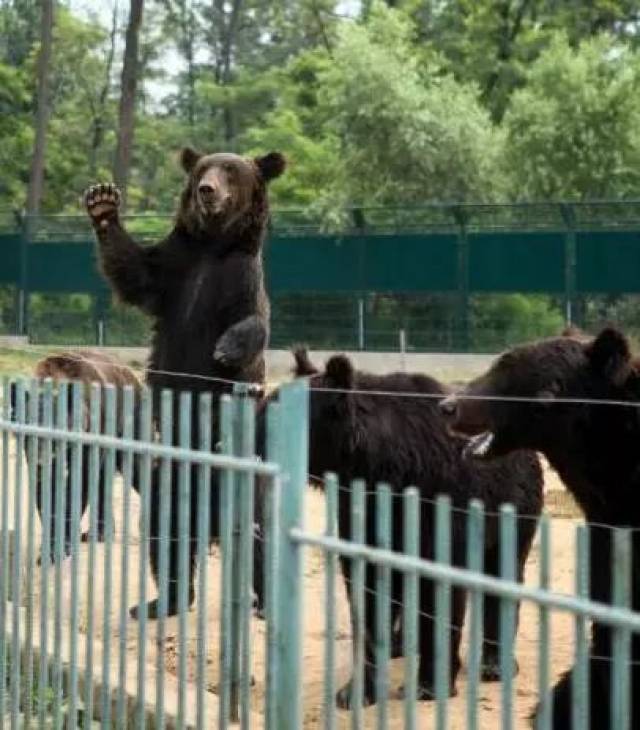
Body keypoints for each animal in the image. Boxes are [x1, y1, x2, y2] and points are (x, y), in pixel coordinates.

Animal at [84, 149, 286, 620]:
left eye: (230, 170)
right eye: (202, 170)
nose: (207, 190)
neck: (212, 246)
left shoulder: (239, 278)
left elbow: (253, 322)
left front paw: (226, 349)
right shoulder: (175, 269)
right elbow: (135, 272)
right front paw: (102, 202)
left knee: (257, 534)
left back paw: (264, 603)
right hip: (171, 473)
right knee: (165, 530)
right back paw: (160, 602)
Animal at [262, 346, 544, 704]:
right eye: (265, 408)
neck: (380, 467)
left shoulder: (440, 502)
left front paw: (429, 684)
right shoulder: (364, 511)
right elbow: (367, 591)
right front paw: (355, 691)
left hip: (514, 510)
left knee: (504, 574)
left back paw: (494, 663)